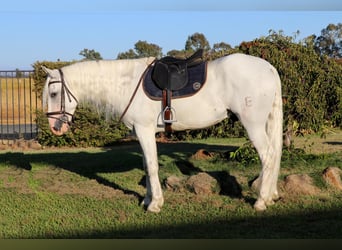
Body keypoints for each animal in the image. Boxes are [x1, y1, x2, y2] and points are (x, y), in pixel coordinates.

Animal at [42, 53, 284, 212]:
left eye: (53, 93)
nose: (55, 128)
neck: (127, 84)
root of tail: (269, 68)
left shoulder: (144, 130)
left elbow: (151, 166)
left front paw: (155, 204)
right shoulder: (141, 133)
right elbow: (146, 166)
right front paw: (147, 200)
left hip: (252, 124)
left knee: (268, 157)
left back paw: (261, 201)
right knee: (273, 156)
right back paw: (270, 195)